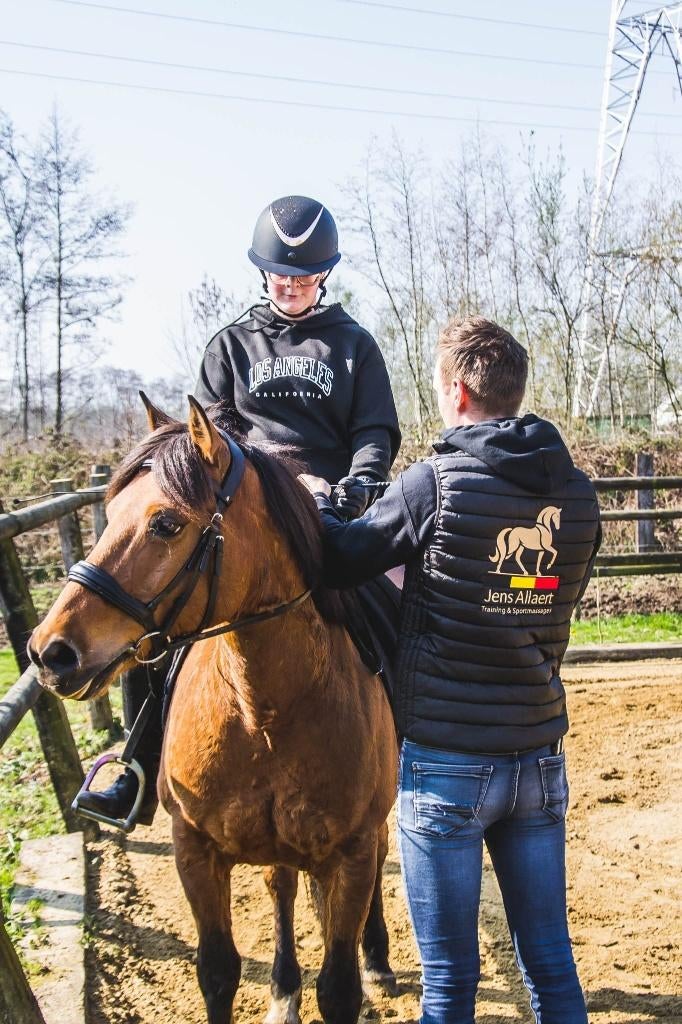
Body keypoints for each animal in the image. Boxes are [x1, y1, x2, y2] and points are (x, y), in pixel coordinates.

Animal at [28, 395, 398, 1024]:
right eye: (111, 510)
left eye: (166, 523)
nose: (48, 652)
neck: (262, 707)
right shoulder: (194, 850)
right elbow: (219, 972)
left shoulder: (350, 851)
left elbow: (339, 988)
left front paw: (361, 963)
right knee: (280, 886)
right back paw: (283, 988)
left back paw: (376, 956)